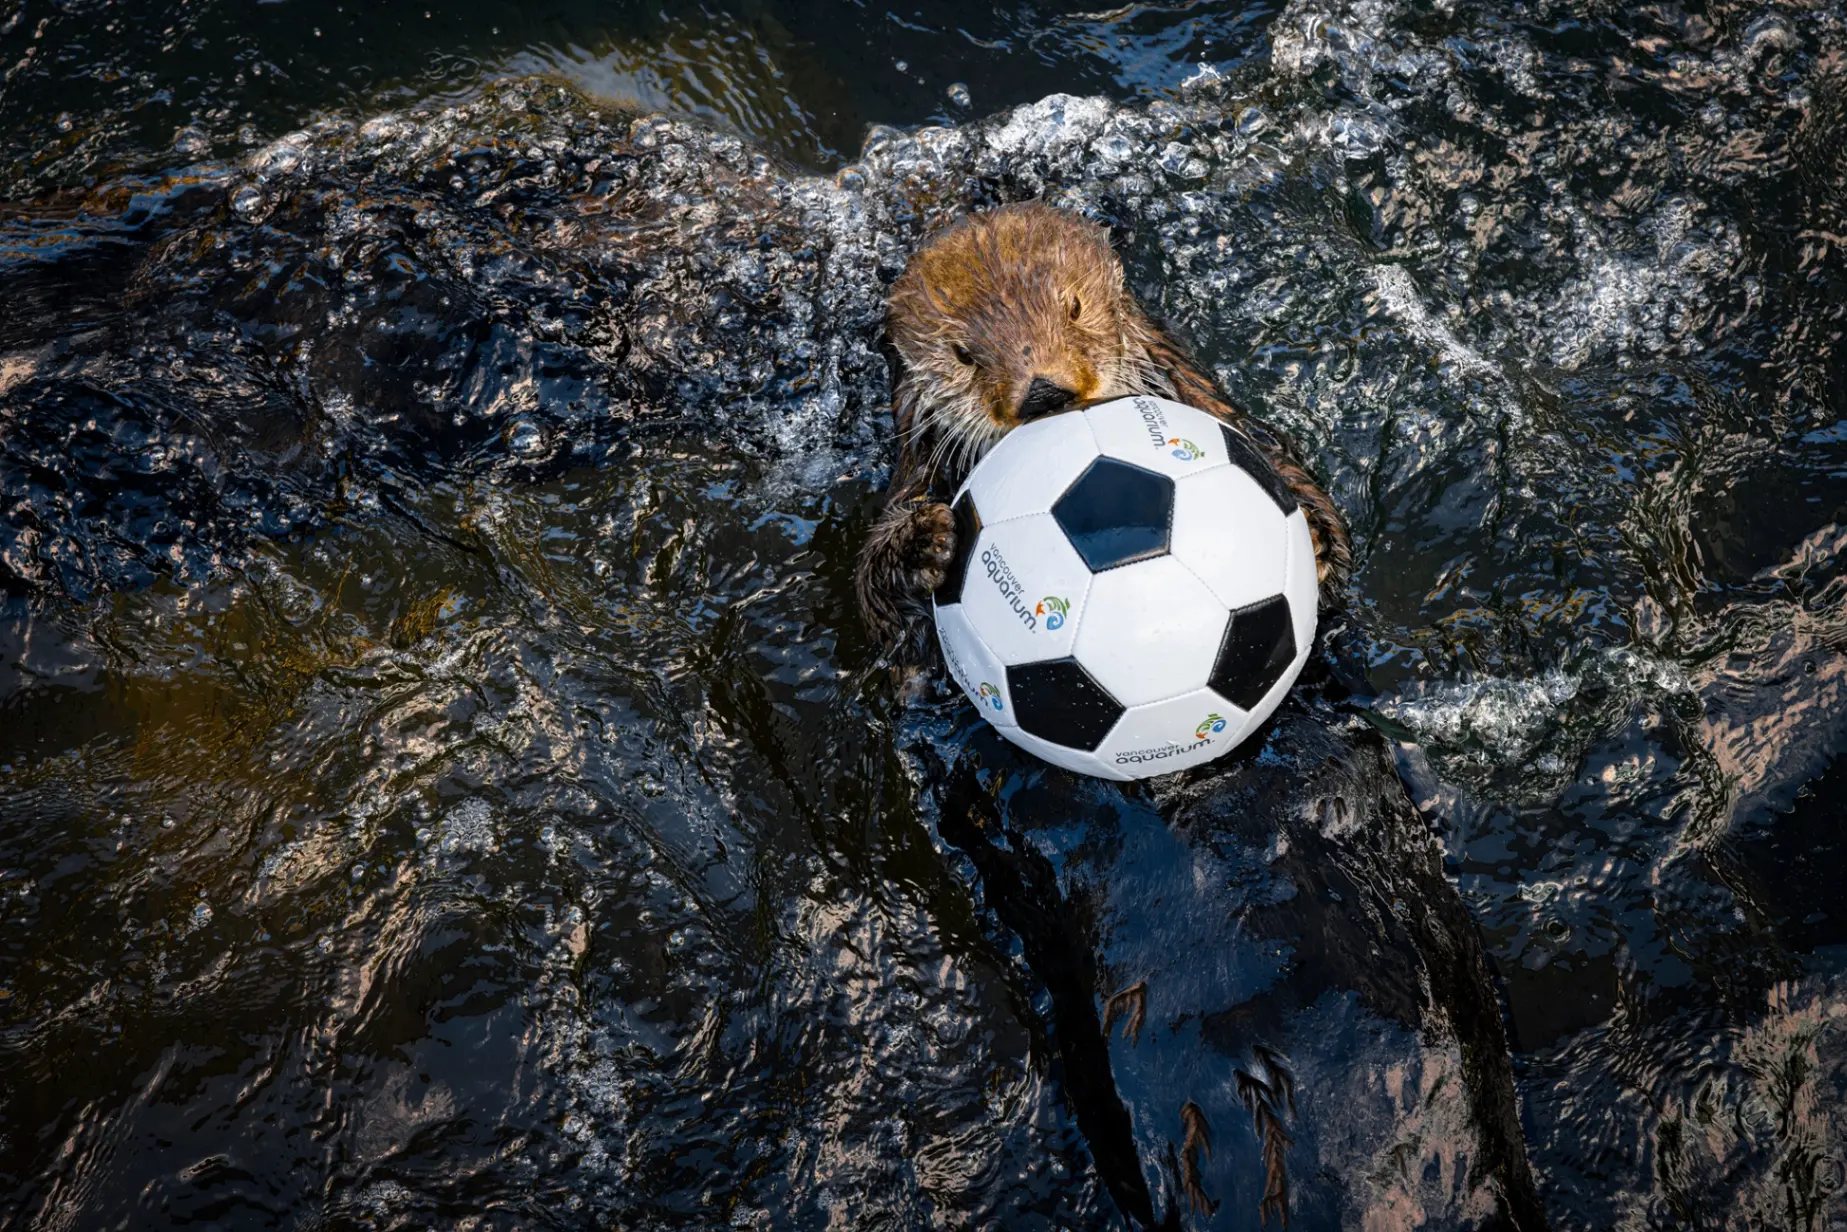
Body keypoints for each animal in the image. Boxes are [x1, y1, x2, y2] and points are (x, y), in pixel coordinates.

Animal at [855, 203, 1351, 652]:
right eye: (962, 355)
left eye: (1073, 307)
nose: (1043, 392)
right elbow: (881, 611)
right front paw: (924, 543)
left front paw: (1313, 539)